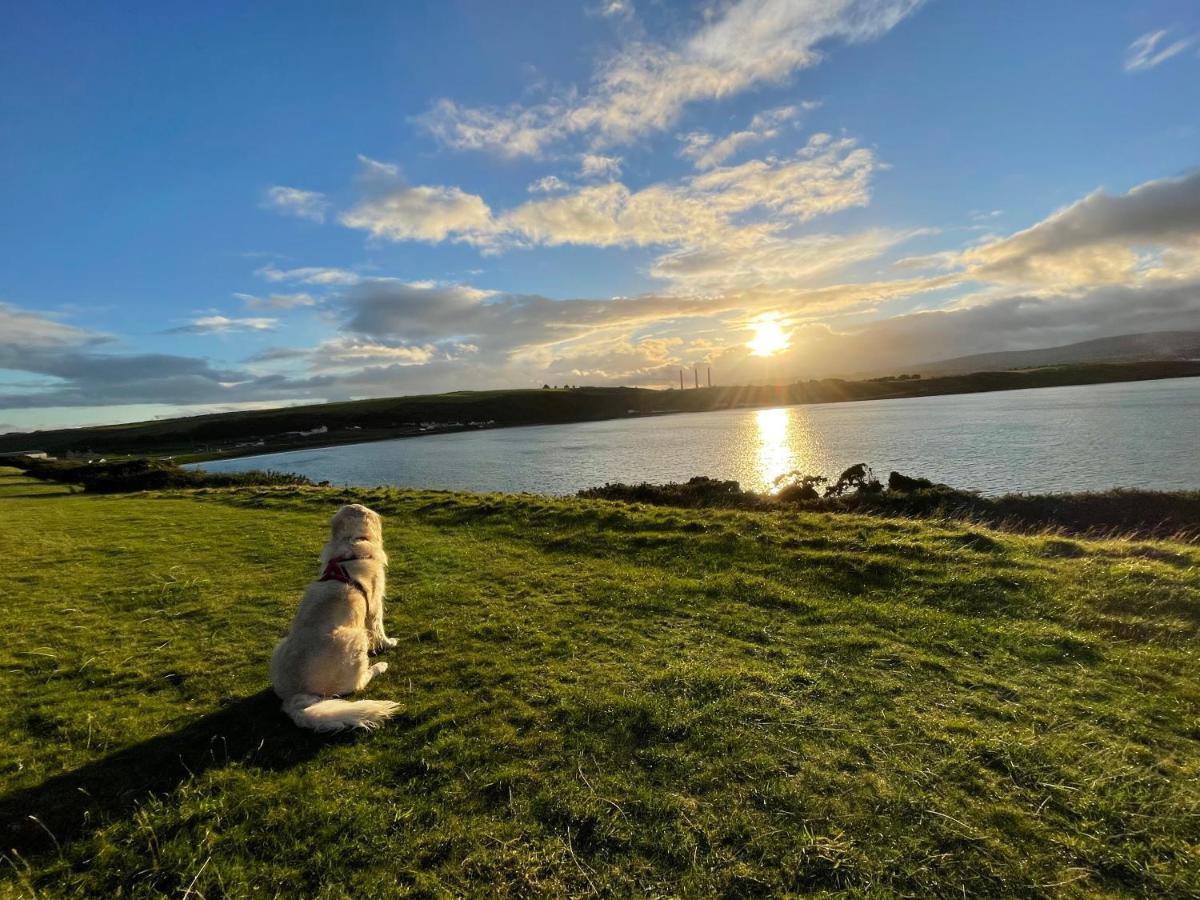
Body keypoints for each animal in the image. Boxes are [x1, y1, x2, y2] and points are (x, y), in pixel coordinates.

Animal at [272, 504, 403, 734]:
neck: (351, 543)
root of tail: (295, 696)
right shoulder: (375, 605)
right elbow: (379, 629)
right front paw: (389, 643)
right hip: (356, 637)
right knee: (357, 683)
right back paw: (379, 666)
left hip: (279, 645)